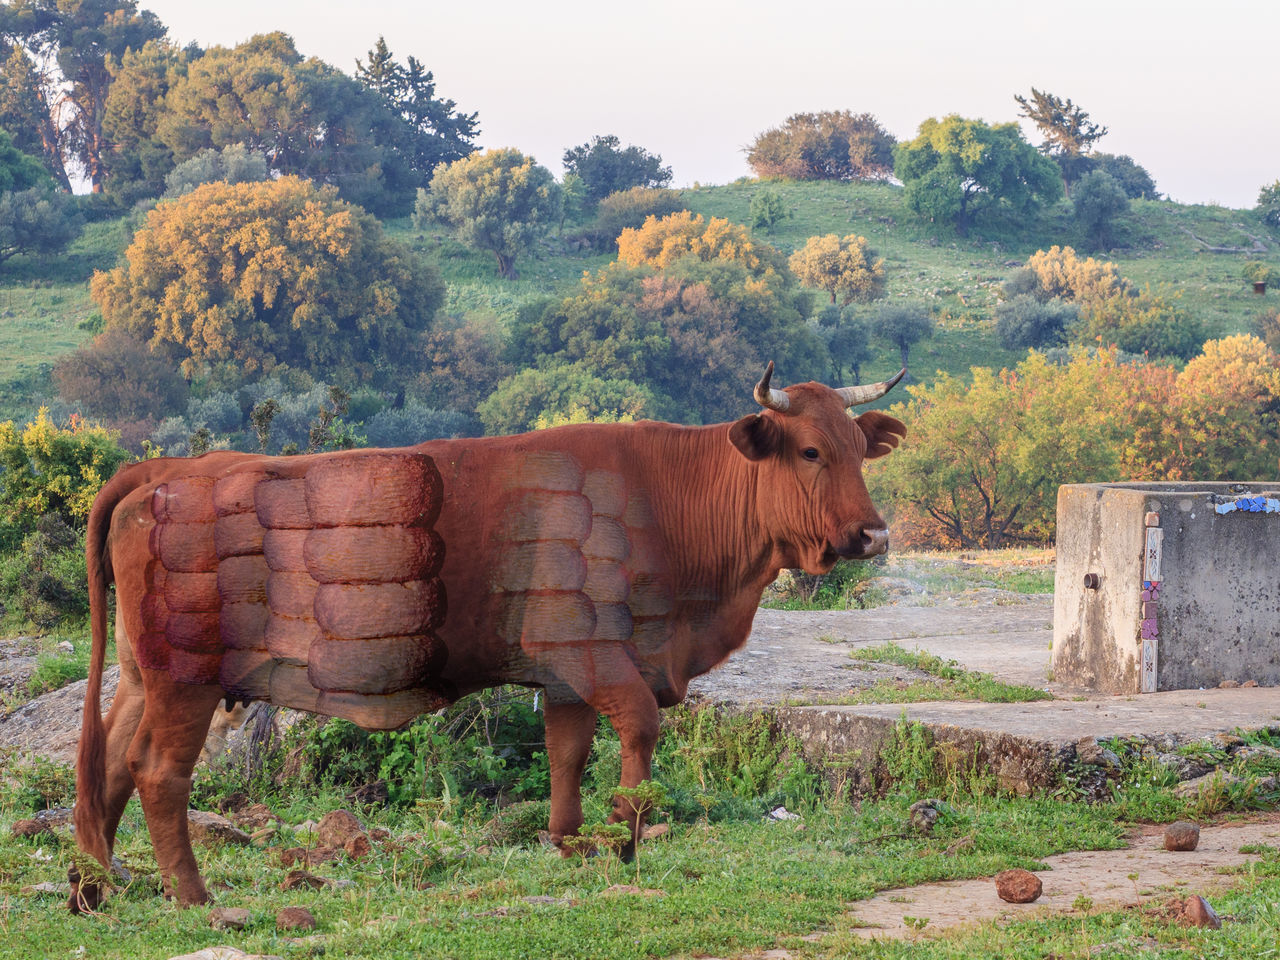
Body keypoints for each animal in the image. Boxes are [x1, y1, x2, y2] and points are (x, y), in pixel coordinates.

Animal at [72, 363, 911, 911]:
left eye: (859, 449)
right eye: (811, 451)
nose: (873, 535)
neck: (670, 499)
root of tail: (161, 471)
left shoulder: (565, 675)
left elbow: (567, 756)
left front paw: (569, 843)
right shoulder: (592, 653)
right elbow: (640, 731)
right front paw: (626, 839)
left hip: (144, 677)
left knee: (108, 762)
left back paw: (100, 884)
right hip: (186, 682)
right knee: (157, 774)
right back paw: (192, 895)